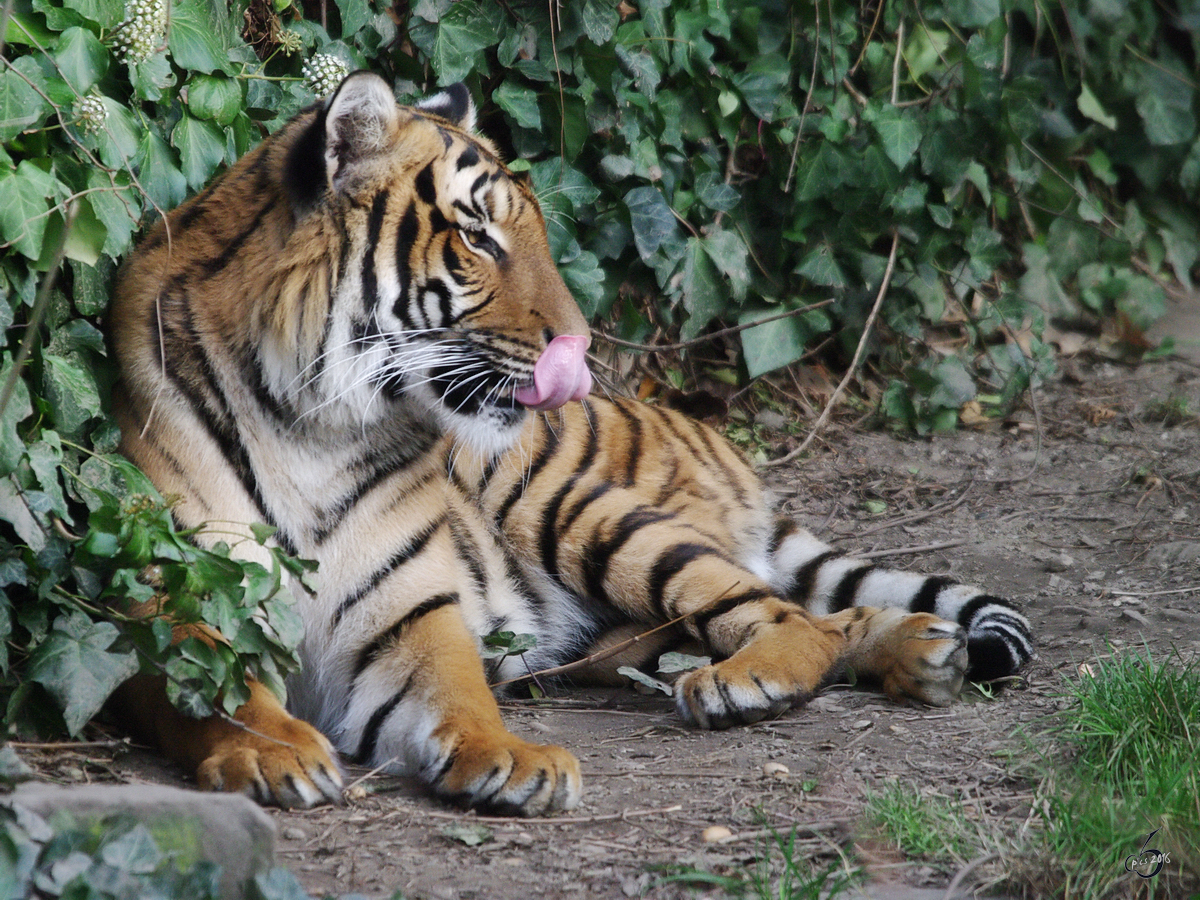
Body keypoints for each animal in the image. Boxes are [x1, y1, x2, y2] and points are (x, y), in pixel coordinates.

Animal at [108, 70, 1036, 816]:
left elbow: (460, 693)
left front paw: (517, 760)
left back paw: (757, 681)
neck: (314, 427)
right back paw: (922, 652)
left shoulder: (409, 614)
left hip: (581, 513)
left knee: (789, 614)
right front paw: (278, 754)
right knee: (806, 619)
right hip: (597, 625)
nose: (582, 352)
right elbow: (211, 691)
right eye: (477, 236)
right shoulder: (174, 599)